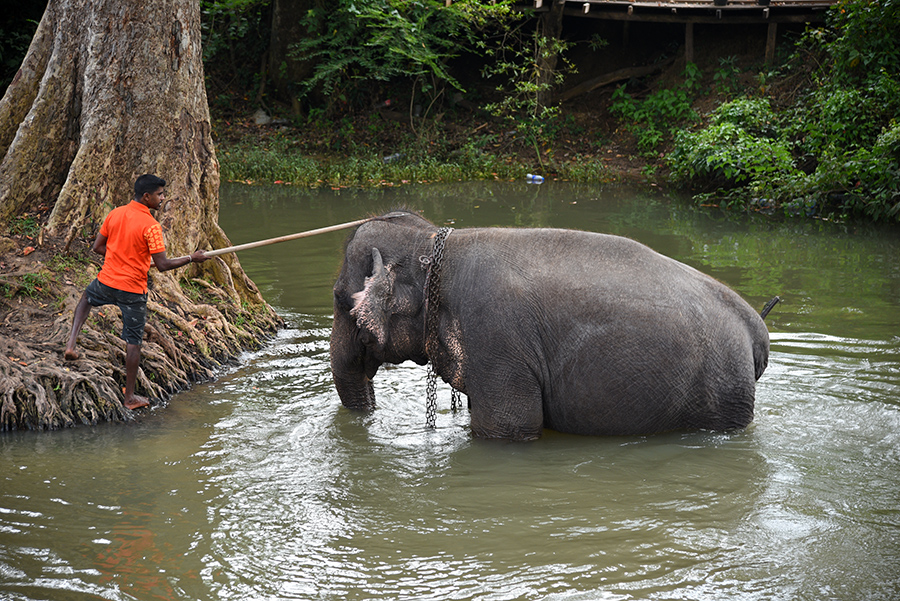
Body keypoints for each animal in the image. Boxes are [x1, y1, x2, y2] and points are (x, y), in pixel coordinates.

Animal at [330, 211, 772, 440]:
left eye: (339, 299)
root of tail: (755, 328)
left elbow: (508, 426)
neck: (432, 242)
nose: (370, 420)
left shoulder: (496, 338)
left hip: (722, 394)